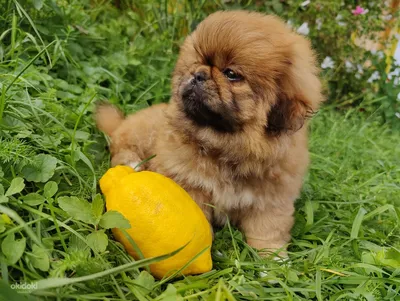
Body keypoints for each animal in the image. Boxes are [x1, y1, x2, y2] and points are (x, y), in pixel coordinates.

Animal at [95, 11, 324, 255]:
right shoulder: (190, 186)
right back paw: (133, 163)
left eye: (231, 74)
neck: (226, 146)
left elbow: (267, 233)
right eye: (196, 62)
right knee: (120, 149)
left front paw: (274, 261)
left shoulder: (271, 201)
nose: (198, 74)